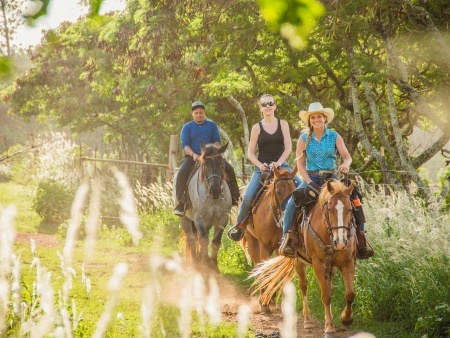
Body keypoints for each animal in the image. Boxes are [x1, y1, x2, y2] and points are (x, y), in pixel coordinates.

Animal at [175, 141, 230, 270]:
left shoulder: (223, 219)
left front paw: (214, 265)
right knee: (191, 239)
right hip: (185, 219)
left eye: (222, 164)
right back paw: (195, 263)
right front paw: (205, 264)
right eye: (205, 165)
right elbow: (204, 240)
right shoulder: (199, 219)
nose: (215, 190)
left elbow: (216, 241)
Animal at [241, 165, 298, 312]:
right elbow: (265, 270)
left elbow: (278, 271)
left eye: (294, 192)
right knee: (258, 266)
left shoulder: (280, 248)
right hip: (252, 241)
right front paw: (264, 304)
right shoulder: (264, 246)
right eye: (277, 192)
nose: (285, 220)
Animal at [251, 180, 356, 336]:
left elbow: (349, 294)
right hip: (299, 261)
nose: (341, 242)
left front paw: (346, 318)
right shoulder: (318, 264)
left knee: (329, 286)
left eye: (350, 209)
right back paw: (307, 320)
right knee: (304, 285)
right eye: (330, 209)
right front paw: (329, 328)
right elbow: (326, 296)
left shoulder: (348, 262)